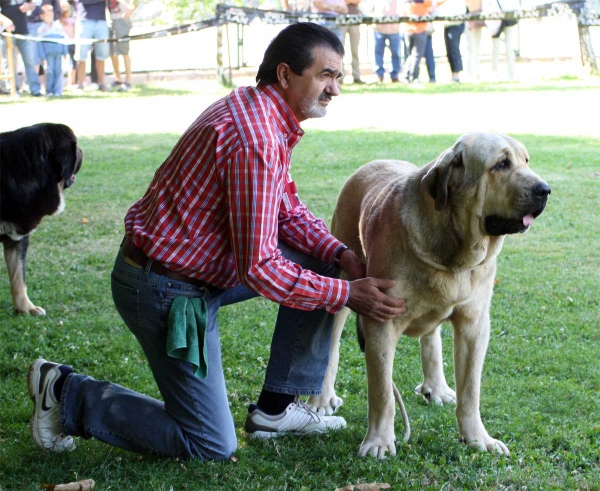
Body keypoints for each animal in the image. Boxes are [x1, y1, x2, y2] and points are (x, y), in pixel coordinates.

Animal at [308, 133, 552, 460]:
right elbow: (382, 391)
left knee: (431, 340)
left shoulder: (474, 324)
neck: (455, 251)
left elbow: (470, 390)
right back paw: (321, 399)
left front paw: (478, 438)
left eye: (526, 161)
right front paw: (379, 441)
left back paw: (435, 387)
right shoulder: (381, 319)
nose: (545, 190)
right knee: (331, 345)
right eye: (501, 164)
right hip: (344, 280)